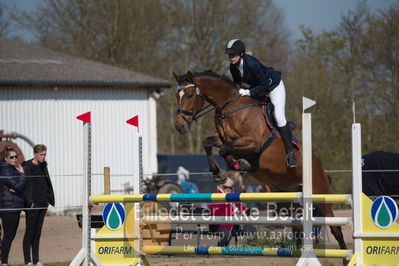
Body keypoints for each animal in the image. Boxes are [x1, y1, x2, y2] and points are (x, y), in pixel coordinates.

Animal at [173, 69, 348, 256]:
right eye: (177, 95)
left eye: (190, 95)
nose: (180, 126)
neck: (230, 107)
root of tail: (320, 167)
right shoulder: (221, 138)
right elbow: (208, 143)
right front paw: (219, 172)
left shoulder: (252, 142)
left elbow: (225, 150)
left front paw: (237, 164)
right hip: (292, 201)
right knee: (300, 227)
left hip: (320, 196)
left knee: (335, 228)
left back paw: (346, 257)